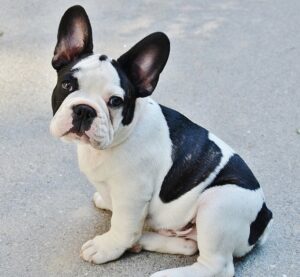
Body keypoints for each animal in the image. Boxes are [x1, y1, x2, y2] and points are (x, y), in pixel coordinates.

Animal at [50, 4, 274, 276]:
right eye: (67, 85)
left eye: (115, 101)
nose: (84, 110)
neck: (119, 137)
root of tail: (264, 216)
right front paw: (106, 201)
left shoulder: (132, 193)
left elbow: (123, 225)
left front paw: (106, 246)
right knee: (189, 245)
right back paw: (143, 241)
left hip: (218, 203)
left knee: (216, 265)